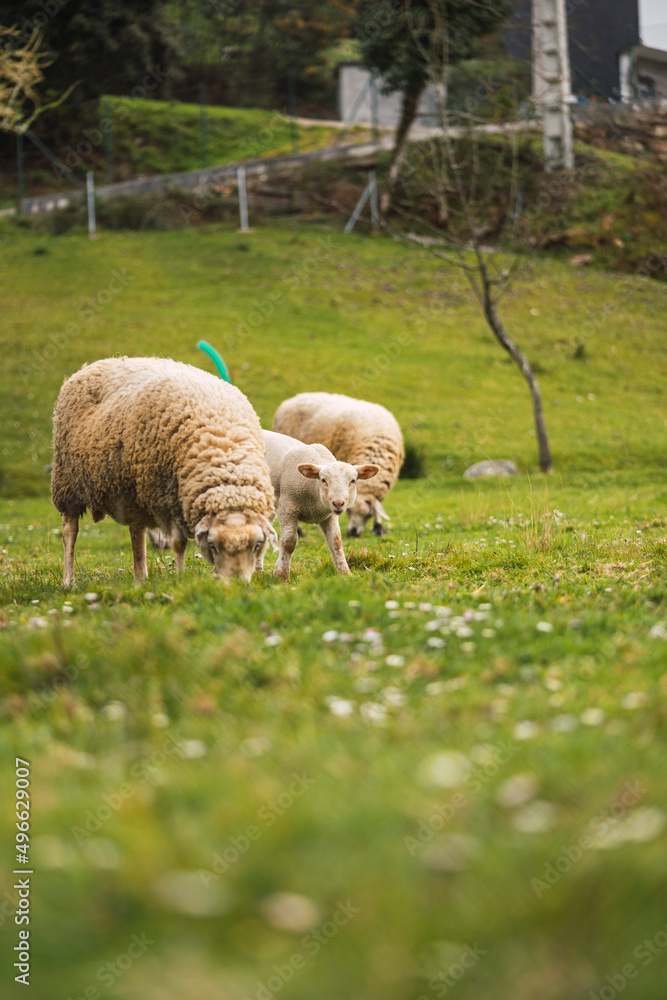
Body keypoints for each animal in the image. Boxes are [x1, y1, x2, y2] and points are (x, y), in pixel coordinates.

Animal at [51, 357, 277, 586]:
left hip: (133, 490)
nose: (236, 584)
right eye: (212, 545)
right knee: (70, 532)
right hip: (66, 482)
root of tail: (93, 365)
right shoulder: (166, 499)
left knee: (137, 532)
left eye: (257, 544)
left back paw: (141, 579)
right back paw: (68, 581)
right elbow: (178, 543)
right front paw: (181, 577)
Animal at [262, 430, 379, 578]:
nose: (338, 503)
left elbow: (336, 542)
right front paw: (281, 575)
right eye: (323, 480)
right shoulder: (287, 508)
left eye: (353, 480)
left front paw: (345, 573)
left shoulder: (331, 516)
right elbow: (289, 543)